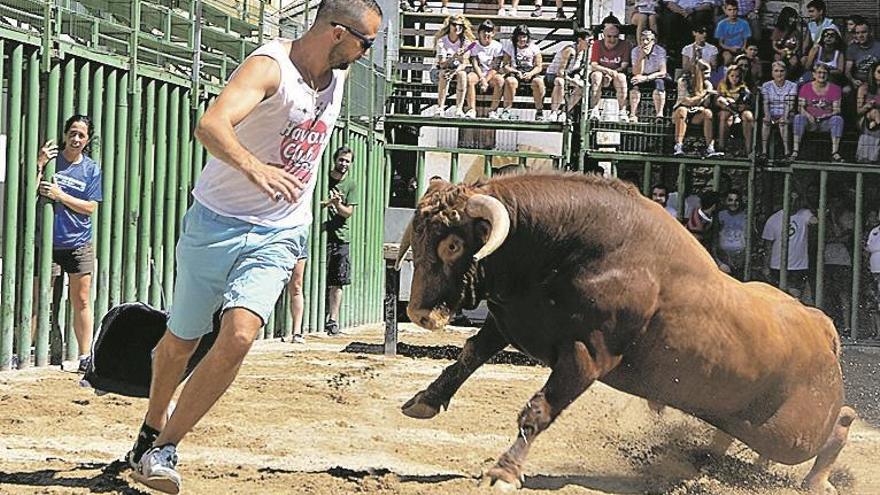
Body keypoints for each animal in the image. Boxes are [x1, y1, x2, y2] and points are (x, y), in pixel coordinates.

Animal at [398, 173, 852, 492]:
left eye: (452, 245)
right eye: (417, 236)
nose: (419, 313)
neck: (563, 249)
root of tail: (822, 328)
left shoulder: (585, 358)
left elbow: (538, 409)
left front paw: (504, 473)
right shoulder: (509, 321)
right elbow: (470, 354)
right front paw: (426, 399)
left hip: (793, 435)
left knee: (837, 426)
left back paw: (816, 479)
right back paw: (708, 456)